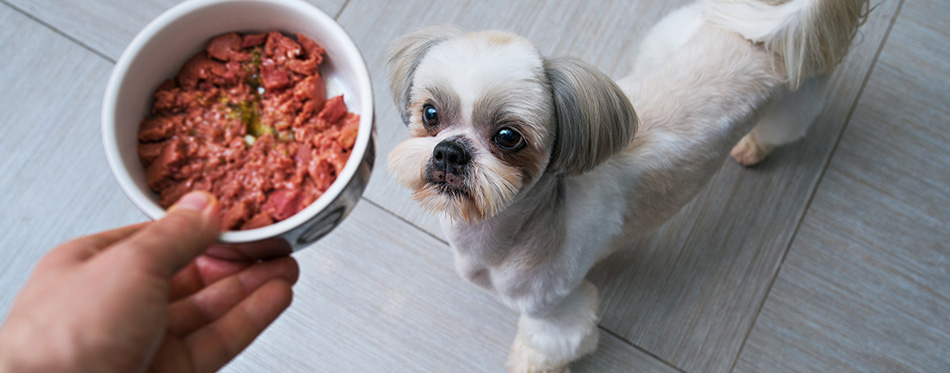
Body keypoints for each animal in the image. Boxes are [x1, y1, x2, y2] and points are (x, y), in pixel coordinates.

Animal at [386, 0, 872, 370]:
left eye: (508, 137)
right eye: (430, 113)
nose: (450, 152)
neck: (515, 231)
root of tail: (778, 27)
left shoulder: (556, 312)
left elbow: (544, 348)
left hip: (796, 100)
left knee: (783, 130)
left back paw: (754, 147)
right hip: (671, 38)